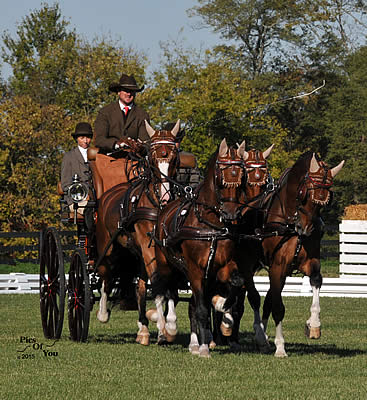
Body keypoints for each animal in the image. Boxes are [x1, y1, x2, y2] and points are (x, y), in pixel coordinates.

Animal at [95, 120, 181, 346]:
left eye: (174, 157)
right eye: (153, 157)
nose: (166, 195)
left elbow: (168, 286)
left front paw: (167, 325)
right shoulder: (148, 247)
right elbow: (158, 283)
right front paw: (163, 326)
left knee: (140, 287)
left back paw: (143, 329)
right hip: (108, 247)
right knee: (106, 276)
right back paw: (102, 313)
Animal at [258, 152, 346, 356]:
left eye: (326, 199)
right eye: (303, 194)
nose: (306, 229)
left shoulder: (308, 263)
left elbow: (315, 281)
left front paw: (313, 325)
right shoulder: (277, 267)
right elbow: (278, 307)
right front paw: (280, 347)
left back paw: (262, 337)